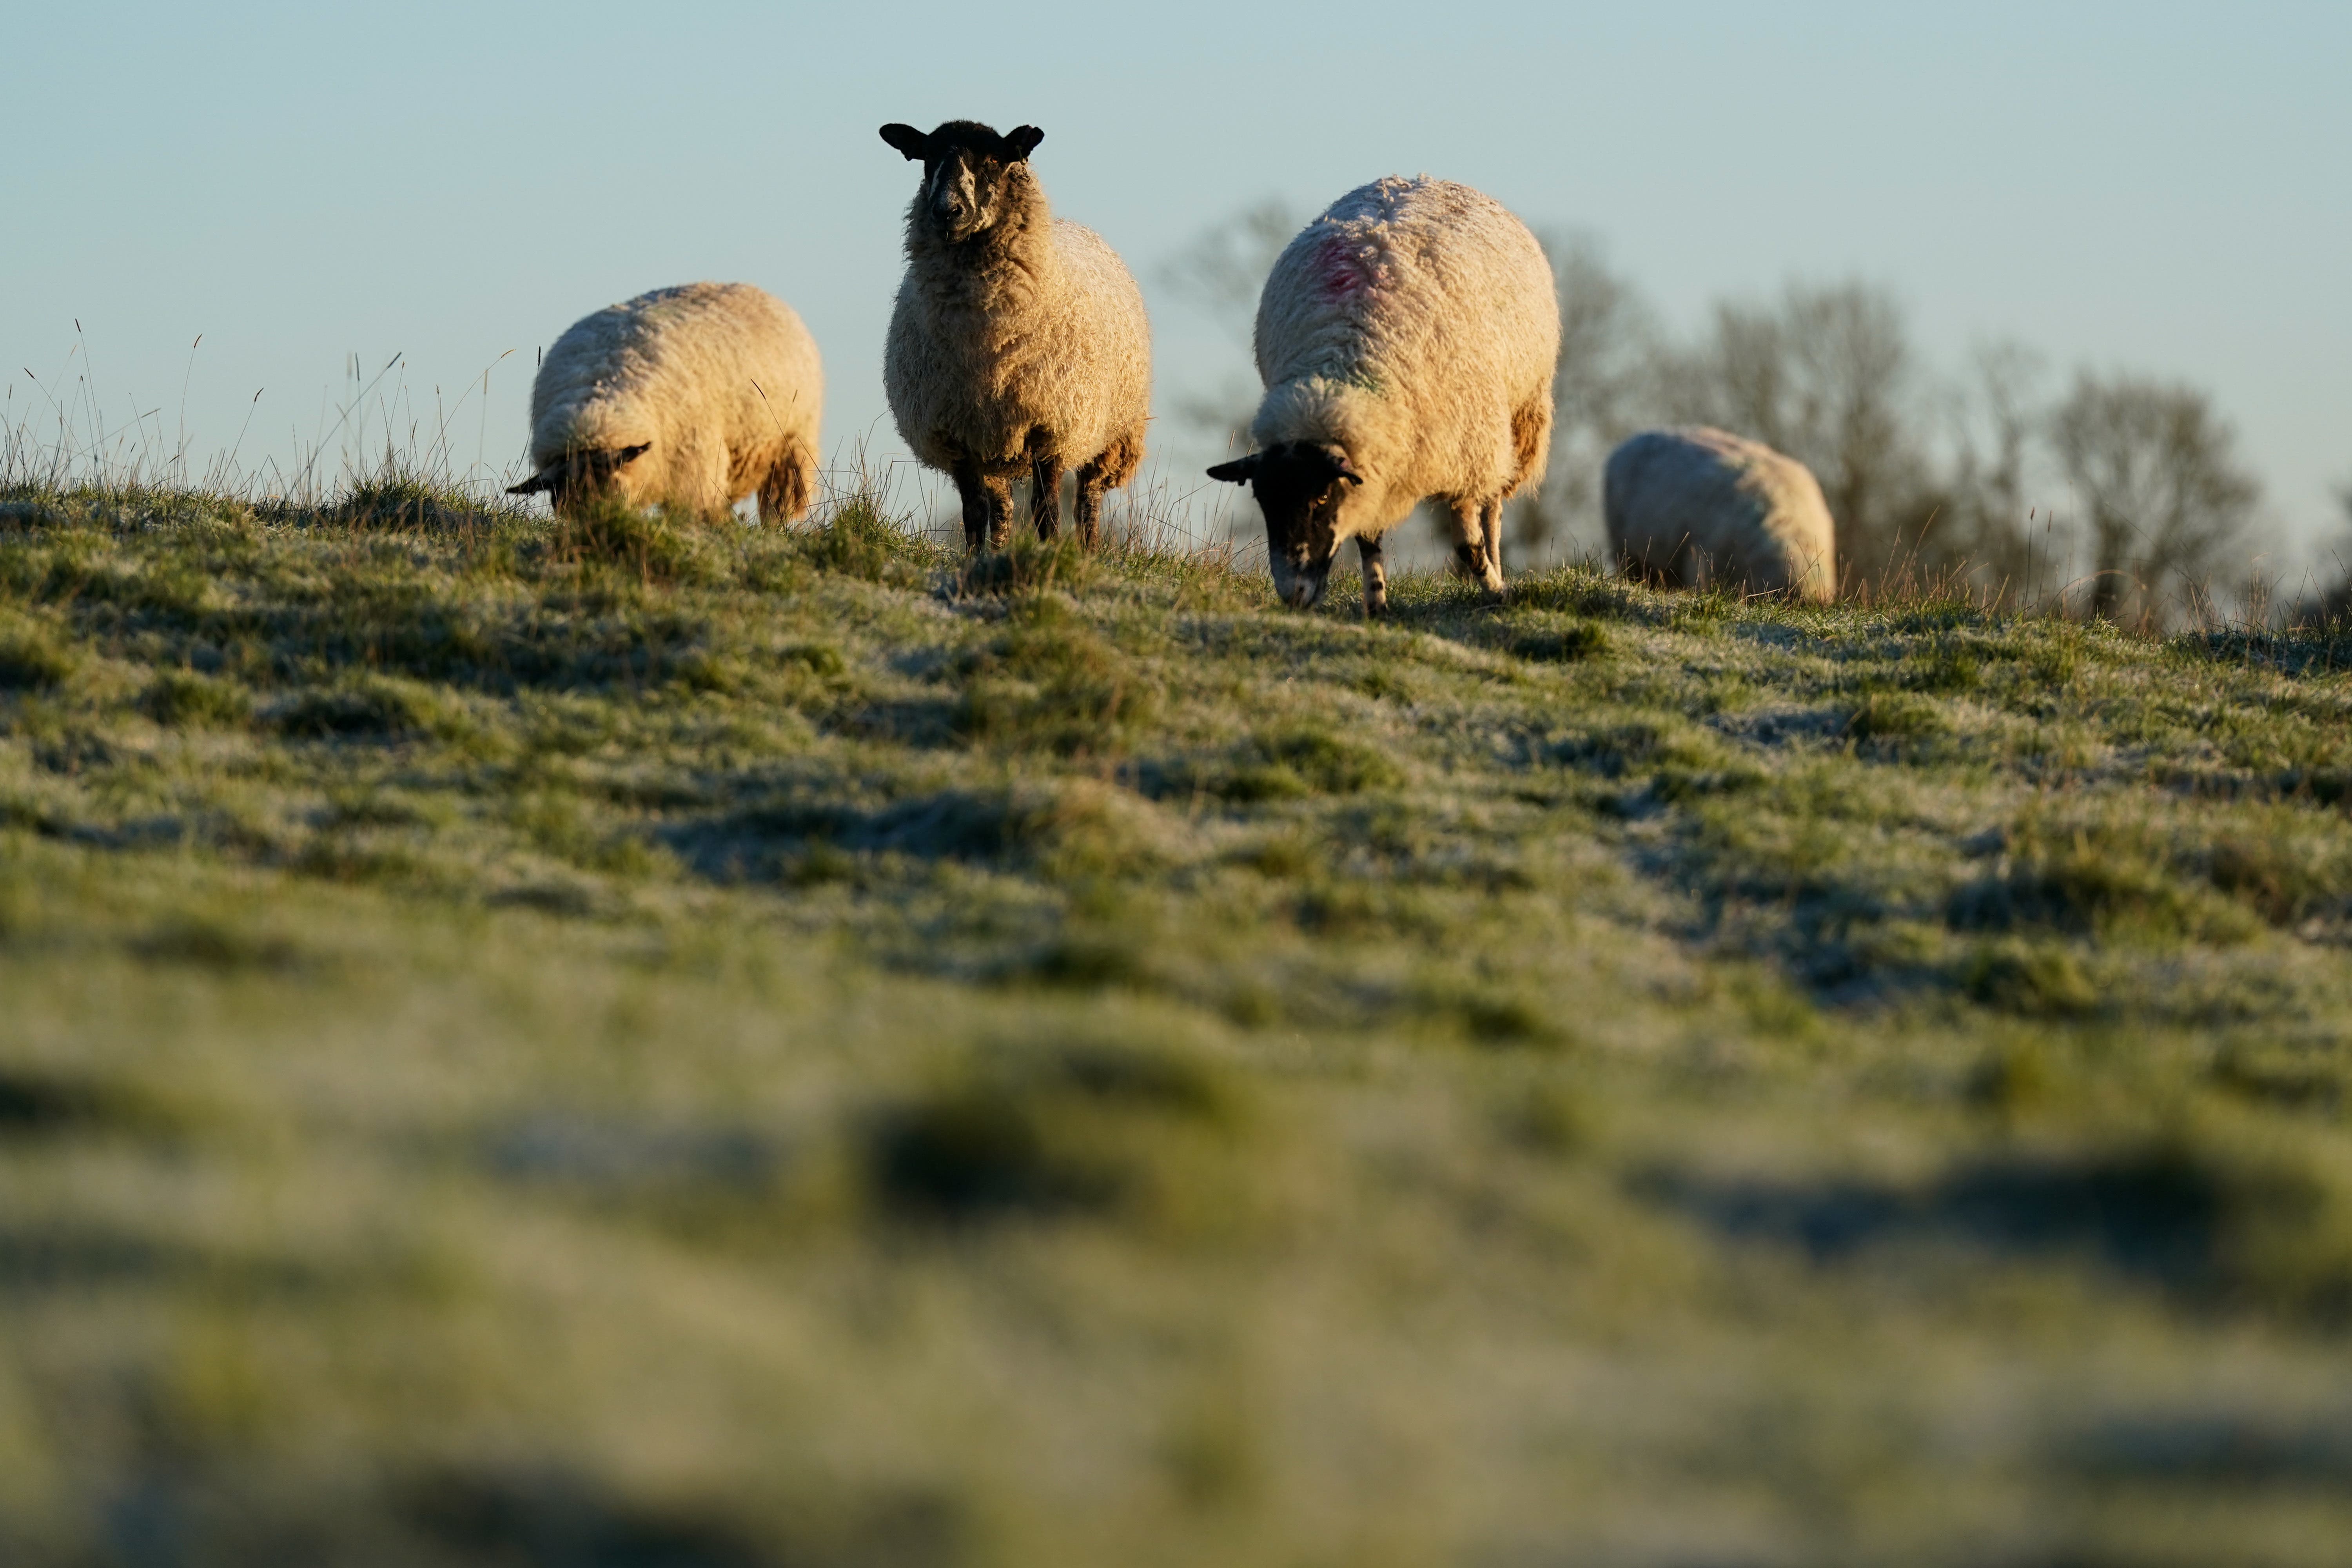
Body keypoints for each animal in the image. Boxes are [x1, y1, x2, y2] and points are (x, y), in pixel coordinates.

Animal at [509, 282, 821, 523]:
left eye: (613, 490)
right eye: (560, 502)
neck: (596, 396)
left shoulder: (694, 472)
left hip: (791, 447)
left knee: (777, 507)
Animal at [877, 119, 1150, 553]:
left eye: (993, 160)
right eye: (928, 158)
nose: (947, 211)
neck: (985, 345)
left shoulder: (1050, 428)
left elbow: (1047, 510)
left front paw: (1051, 556)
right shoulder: (957, 433)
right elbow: (974, 513)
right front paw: (975, 559)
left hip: (1112, 434)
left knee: (1088, 500)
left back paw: (1089, 553)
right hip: (995, 443)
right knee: (1003, 508)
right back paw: (999, 550)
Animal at [1204, 176, 1559, 614]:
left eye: (1322, 498)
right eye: (1263, 500)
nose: (1293, 594)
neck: (1338, 372)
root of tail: (1427, 177)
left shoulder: (1465, 451)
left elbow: (1467, 545)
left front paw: (1497, 591)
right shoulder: (1374, 464)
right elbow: (1368, 538)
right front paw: (1377, 606)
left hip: (1518, 416)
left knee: (1493, 506)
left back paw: (1498, 566)